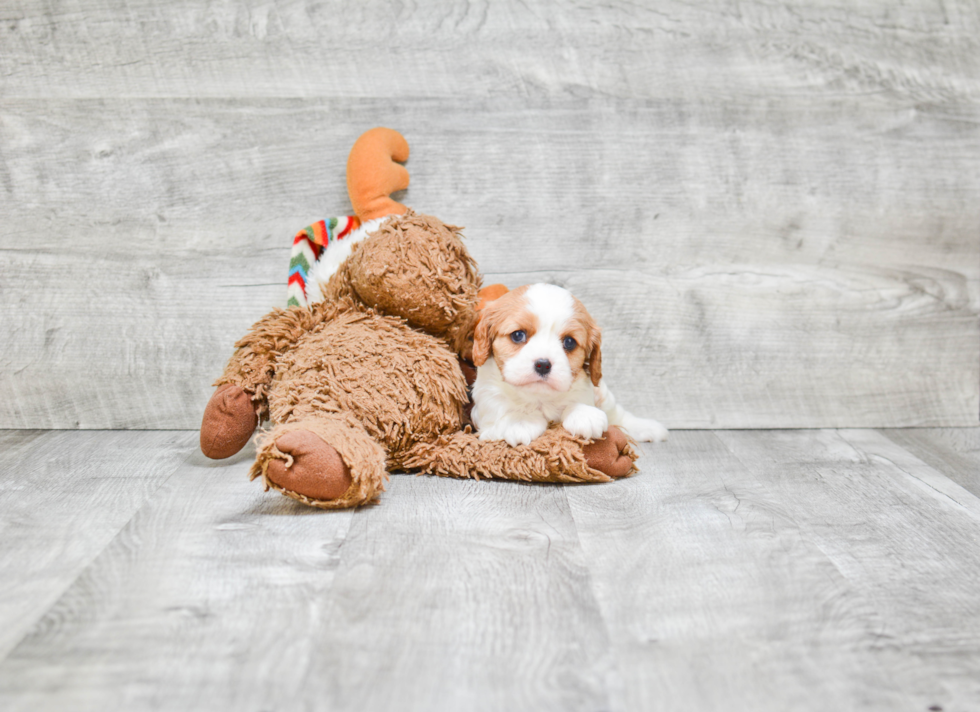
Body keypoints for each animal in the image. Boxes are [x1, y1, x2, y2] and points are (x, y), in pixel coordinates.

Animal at [470, 282, 668, 444]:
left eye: (569, 342)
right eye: (518, 335)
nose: (543, 364)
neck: (539, 398)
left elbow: (579, 401)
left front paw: (583, 414)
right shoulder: (486, 400)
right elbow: (500, 408)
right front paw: (519, 421)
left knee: (617, 414)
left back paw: (648, 427)